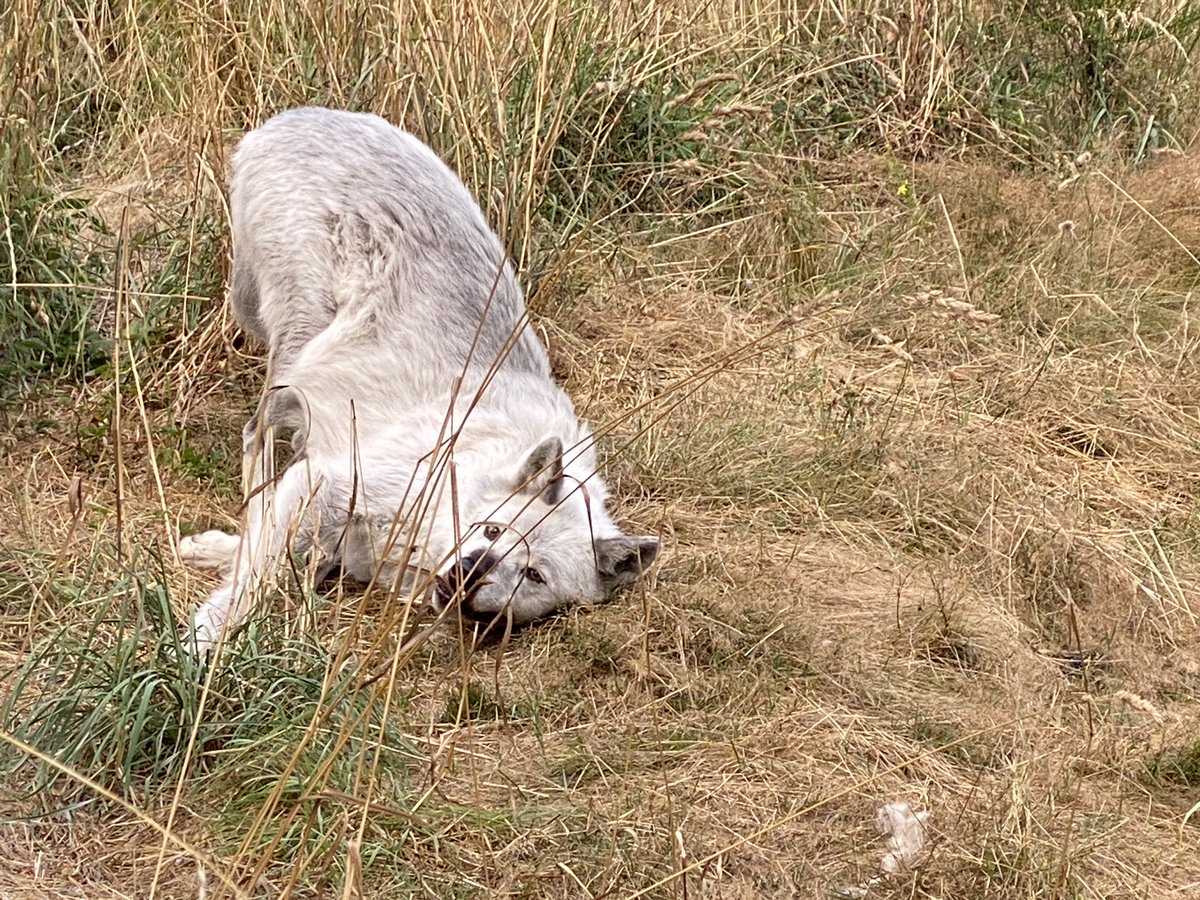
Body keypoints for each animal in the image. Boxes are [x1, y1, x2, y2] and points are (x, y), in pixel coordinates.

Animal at [180, 107, 659, 649]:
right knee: (253, 437)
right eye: (493, 531)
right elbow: (260, 572)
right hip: (295, 354)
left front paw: (216, 552)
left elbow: (277, 552)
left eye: (534, 574)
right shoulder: (329, 483)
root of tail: (291, 118)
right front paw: (206, 638)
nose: (474, 570)